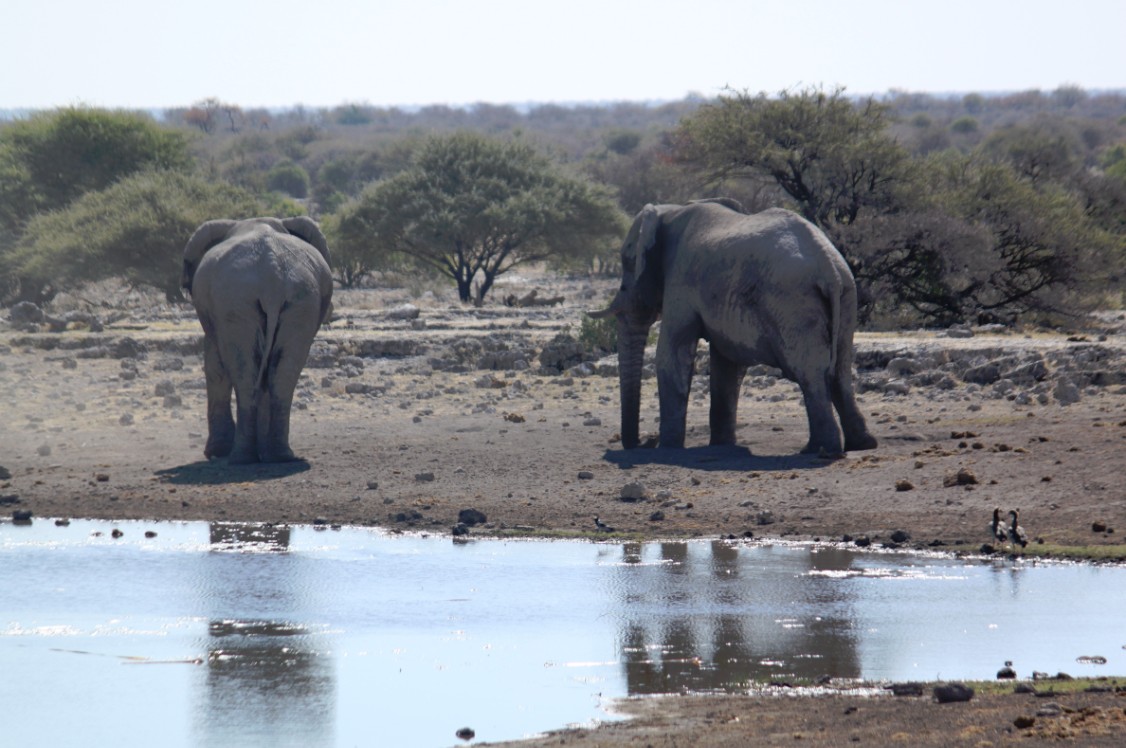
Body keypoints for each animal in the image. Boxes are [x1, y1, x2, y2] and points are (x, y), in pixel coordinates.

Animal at [181, 212, 333, 464]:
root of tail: (272, 277)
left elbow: (215, 368)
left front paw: (216, 452)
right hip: (301, 300)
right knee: (282, 373)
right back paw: (280, 455)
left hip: (235, 302)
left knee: (245, 373)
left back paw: (241, 458)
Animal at [594, 198, 873, 455]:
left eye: (627, 262)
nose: (645, 441)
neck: (670, 211)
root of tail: (830, 267)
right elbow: (727, 363)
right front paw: (720, 445)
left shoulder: (681, 282)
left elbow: (671, 355)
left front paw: (668, 448)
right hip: (846, 296)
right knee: (840, 371)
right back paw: (860, 444)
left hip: (794, 304)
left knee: (809, 373)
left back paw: (821, 449)